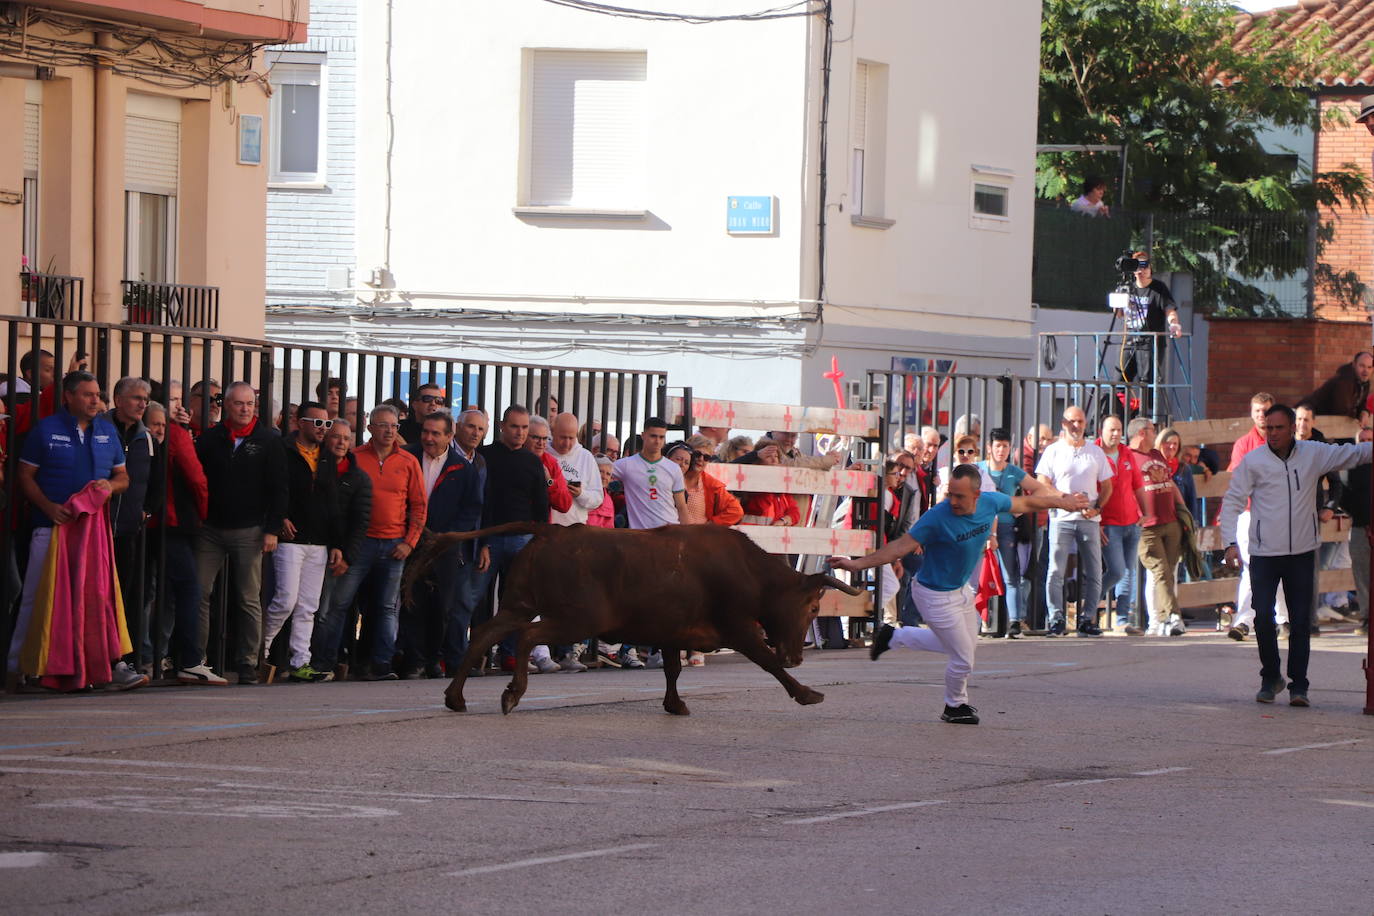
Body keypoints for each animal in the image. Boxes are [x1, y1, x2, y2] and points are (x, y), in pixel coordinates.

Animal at [401, 521, 862, 714]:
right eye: (814, 608)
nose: (796, 657)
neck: (749, 570)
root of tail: (554, 529)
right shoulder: (738, 628)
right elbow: (766, 663)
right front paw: (807, 693)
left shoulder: (672, 631)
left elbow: (673, 668)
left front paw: (675, 705)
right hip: (577, 618)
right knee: (528, 638)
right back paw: (512, 694)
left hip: (519, 602)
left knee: (483, 634)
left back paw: (456, 698)